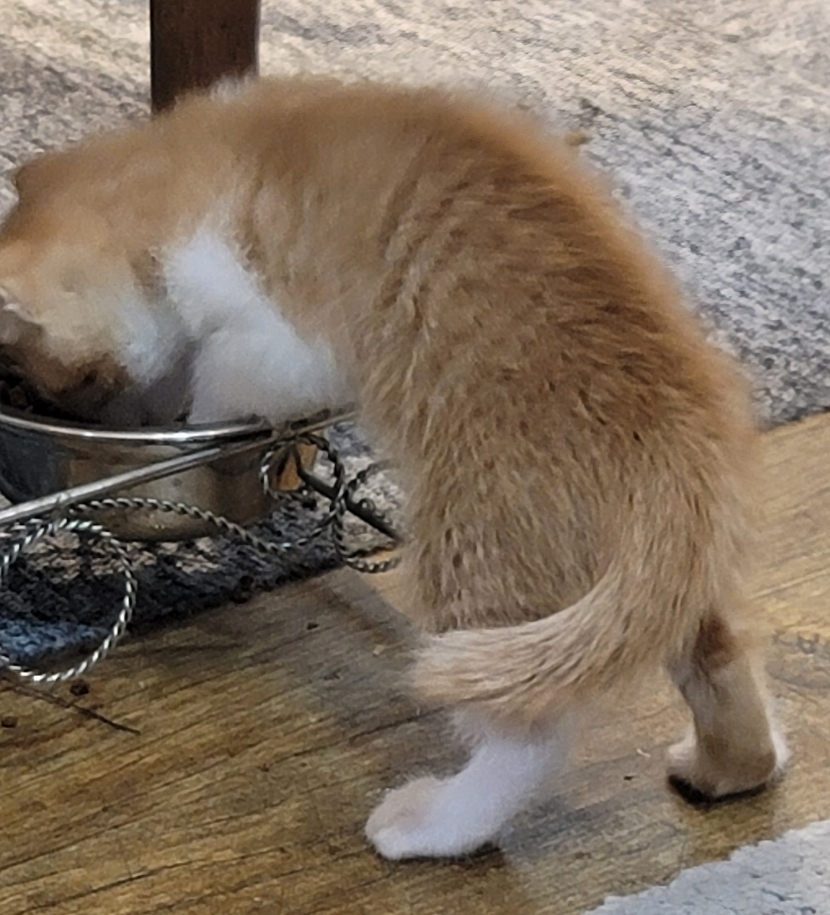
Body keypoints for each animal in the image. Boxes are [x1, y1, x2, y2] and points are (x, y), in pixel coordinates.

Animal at [0, 76, 787, 859]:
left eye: (74, 388)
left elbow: (230, 373)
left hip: (480, 544)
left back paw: (437, 822)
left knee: (530, 731)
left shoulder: (276, 328)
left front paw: (196, 406)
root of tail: (686, 427)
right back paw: (734, 765)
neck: (198, 159)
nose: (117, 416)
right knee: (716, 651)